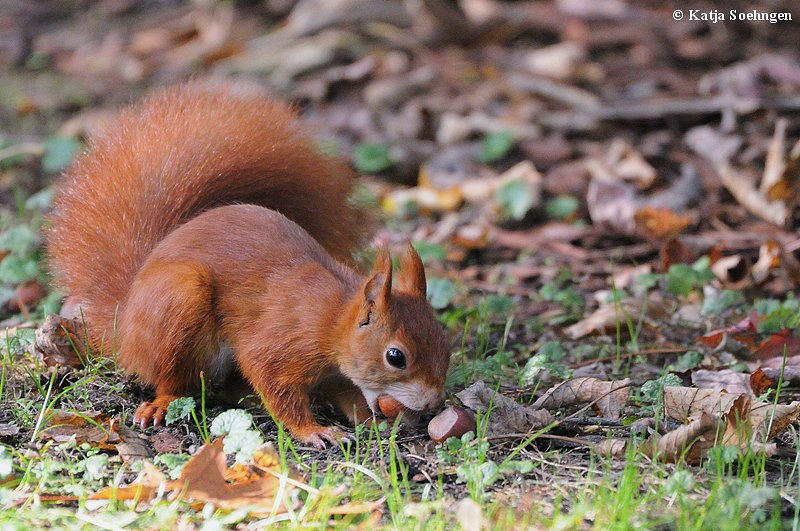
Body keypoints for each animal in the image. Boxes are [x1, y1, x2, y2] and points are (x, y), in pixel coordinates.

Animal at [47, 82, 450, 448]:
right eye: (395, 357)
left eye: (443, 340)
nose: (434, 403)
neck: (332, 316)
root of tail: (126, 317)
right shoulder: (278, 342)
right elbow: (274, 383)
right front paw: (314, 430)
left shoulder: (338, 372)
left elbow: (349, 393)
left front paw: (369, 421)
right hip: (178, 303)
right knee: (173, 379)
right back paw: (163, 402)